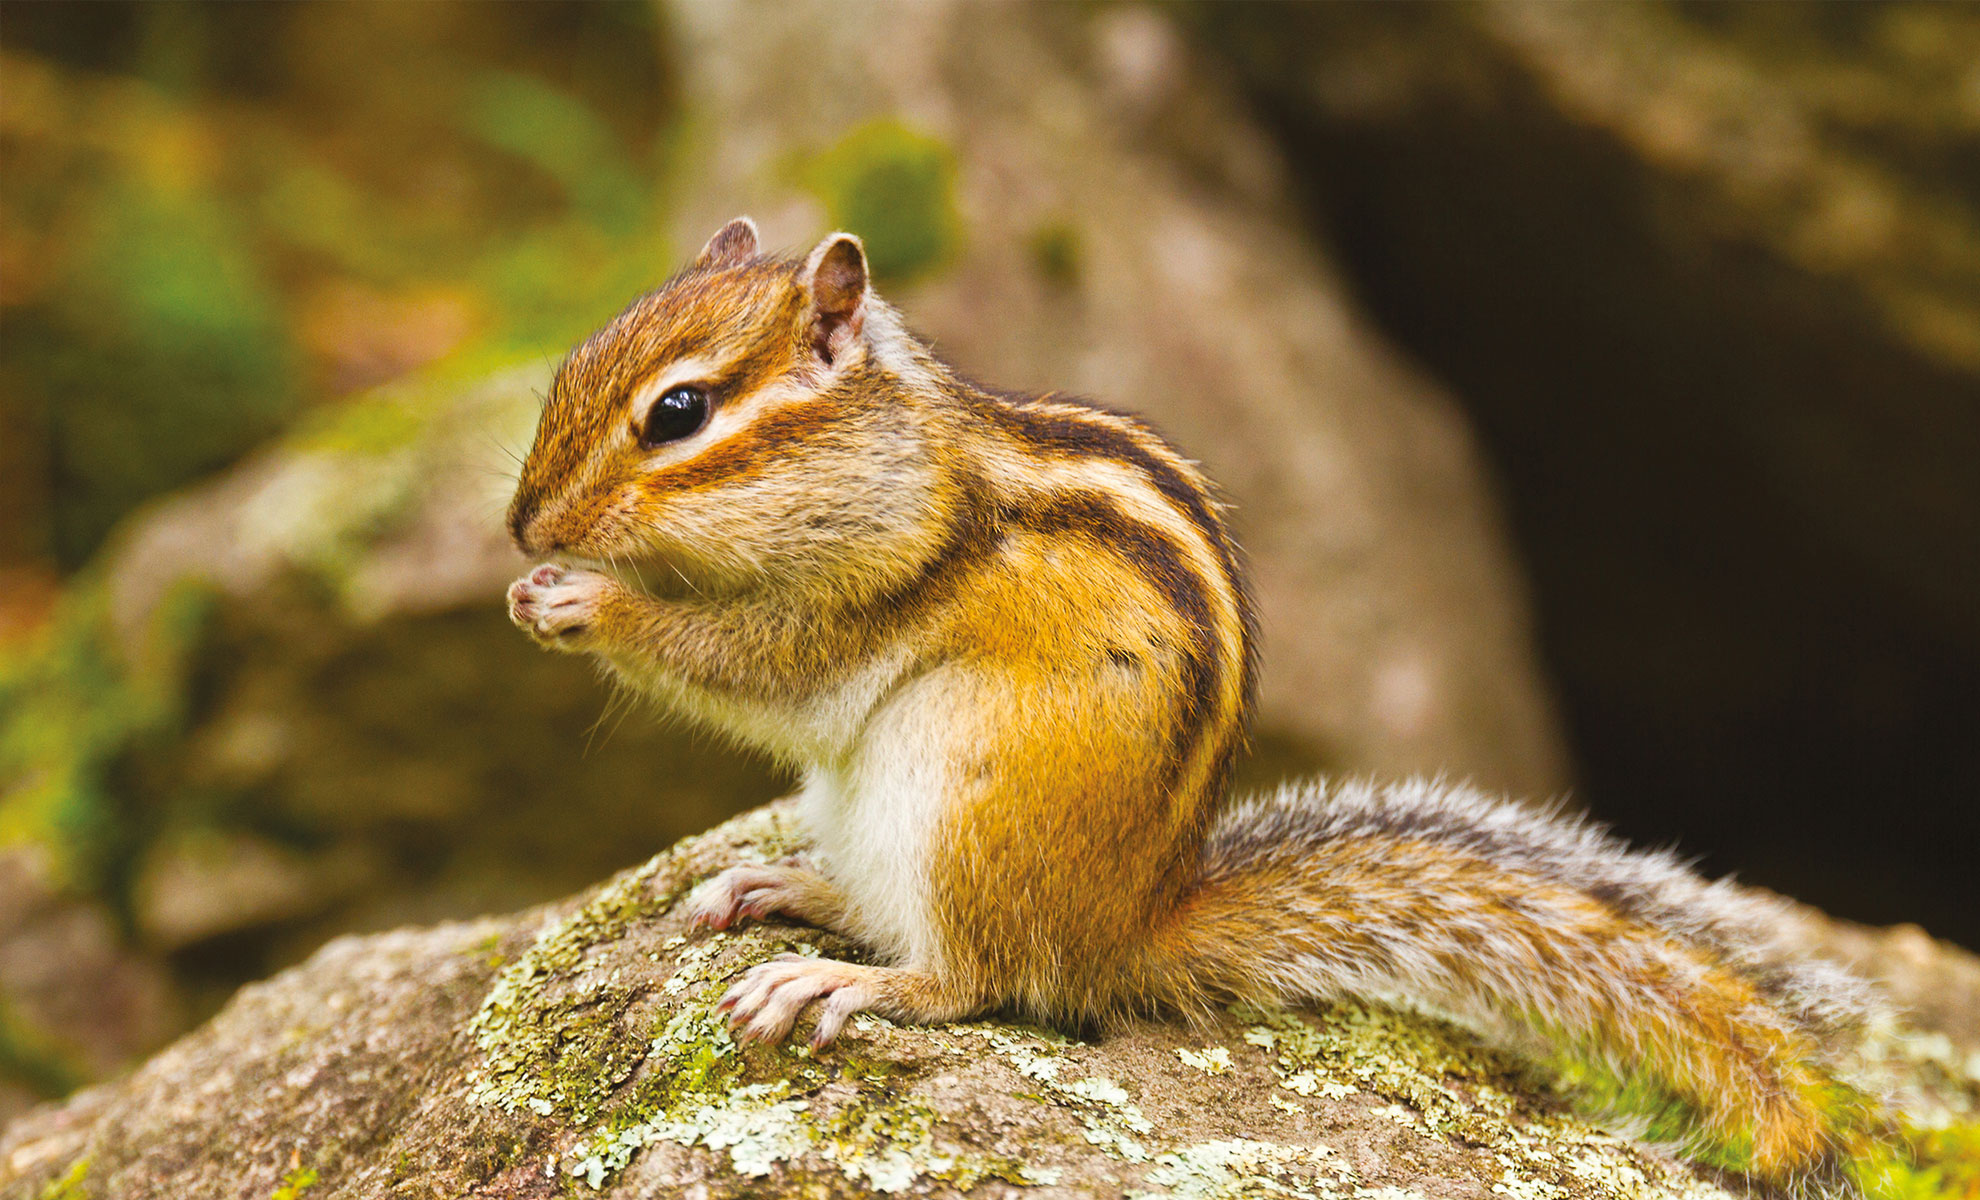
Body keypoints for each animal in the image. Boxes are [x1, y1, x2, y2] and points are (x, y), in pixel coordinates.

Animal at [505, 216, 1879, 1192]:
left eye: (679, 412)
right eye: (569, 365)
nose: (522, 526)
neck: (890, 452)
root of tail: (1129, 926)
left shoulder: (884, 580)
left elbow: (762, 669)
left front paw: (584, 604)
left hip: (963, 804)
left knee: (982, 979)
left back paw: (849, 983)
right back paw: (789, 889)